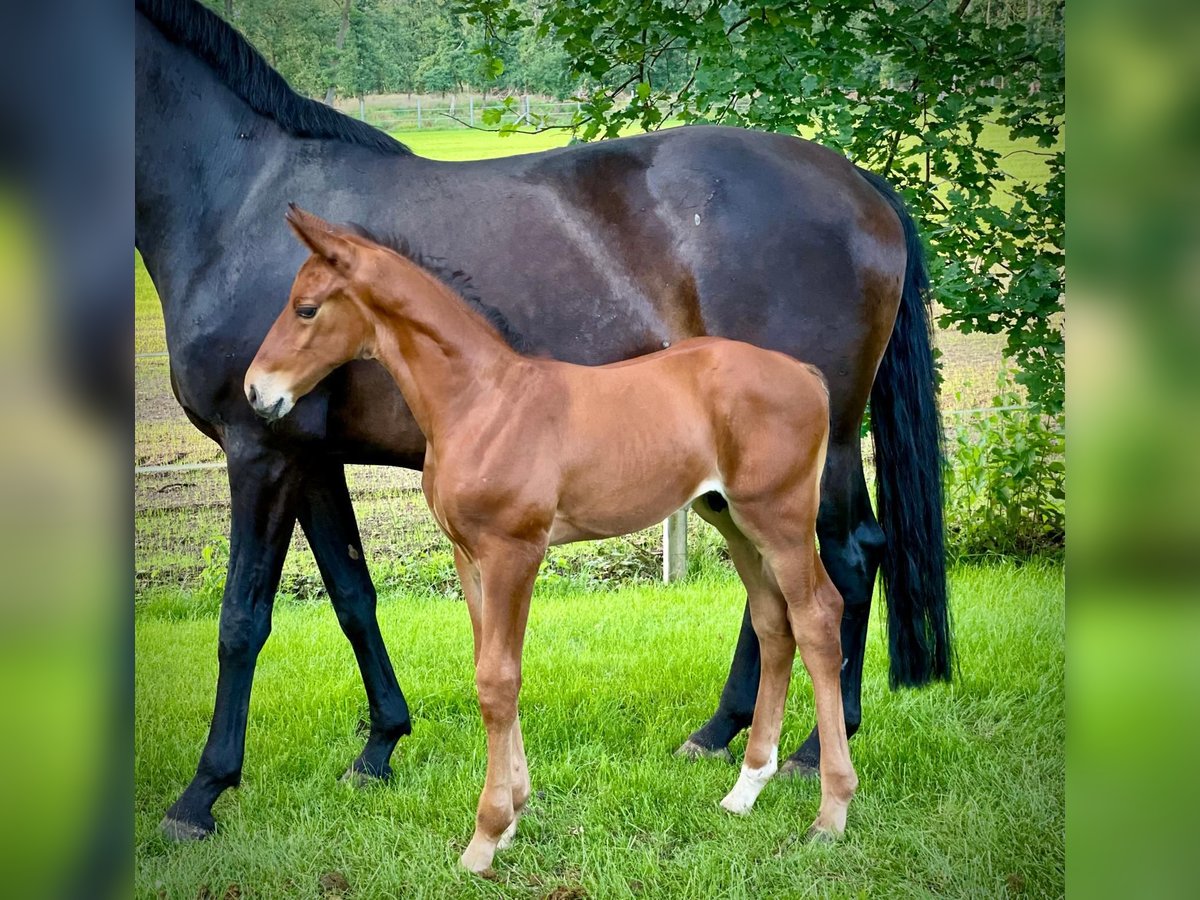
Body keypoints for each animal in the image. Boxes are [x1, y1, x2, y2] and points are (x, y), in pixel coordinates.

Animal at [248, 207, 859, 878]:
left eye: (306, 308)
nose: (255, 391)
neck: (481, 401)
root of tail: (805, 374)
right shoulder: (470, 558)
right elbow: (490, 668)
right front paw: (513, 815)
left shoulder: (514, 551)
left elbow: (497, 680)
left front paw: (485, 837)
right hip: (732, 519)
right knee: (775, 623)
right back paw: (745, 791)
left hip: (780, 519)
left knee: (817, 618)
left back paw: (830, 813)